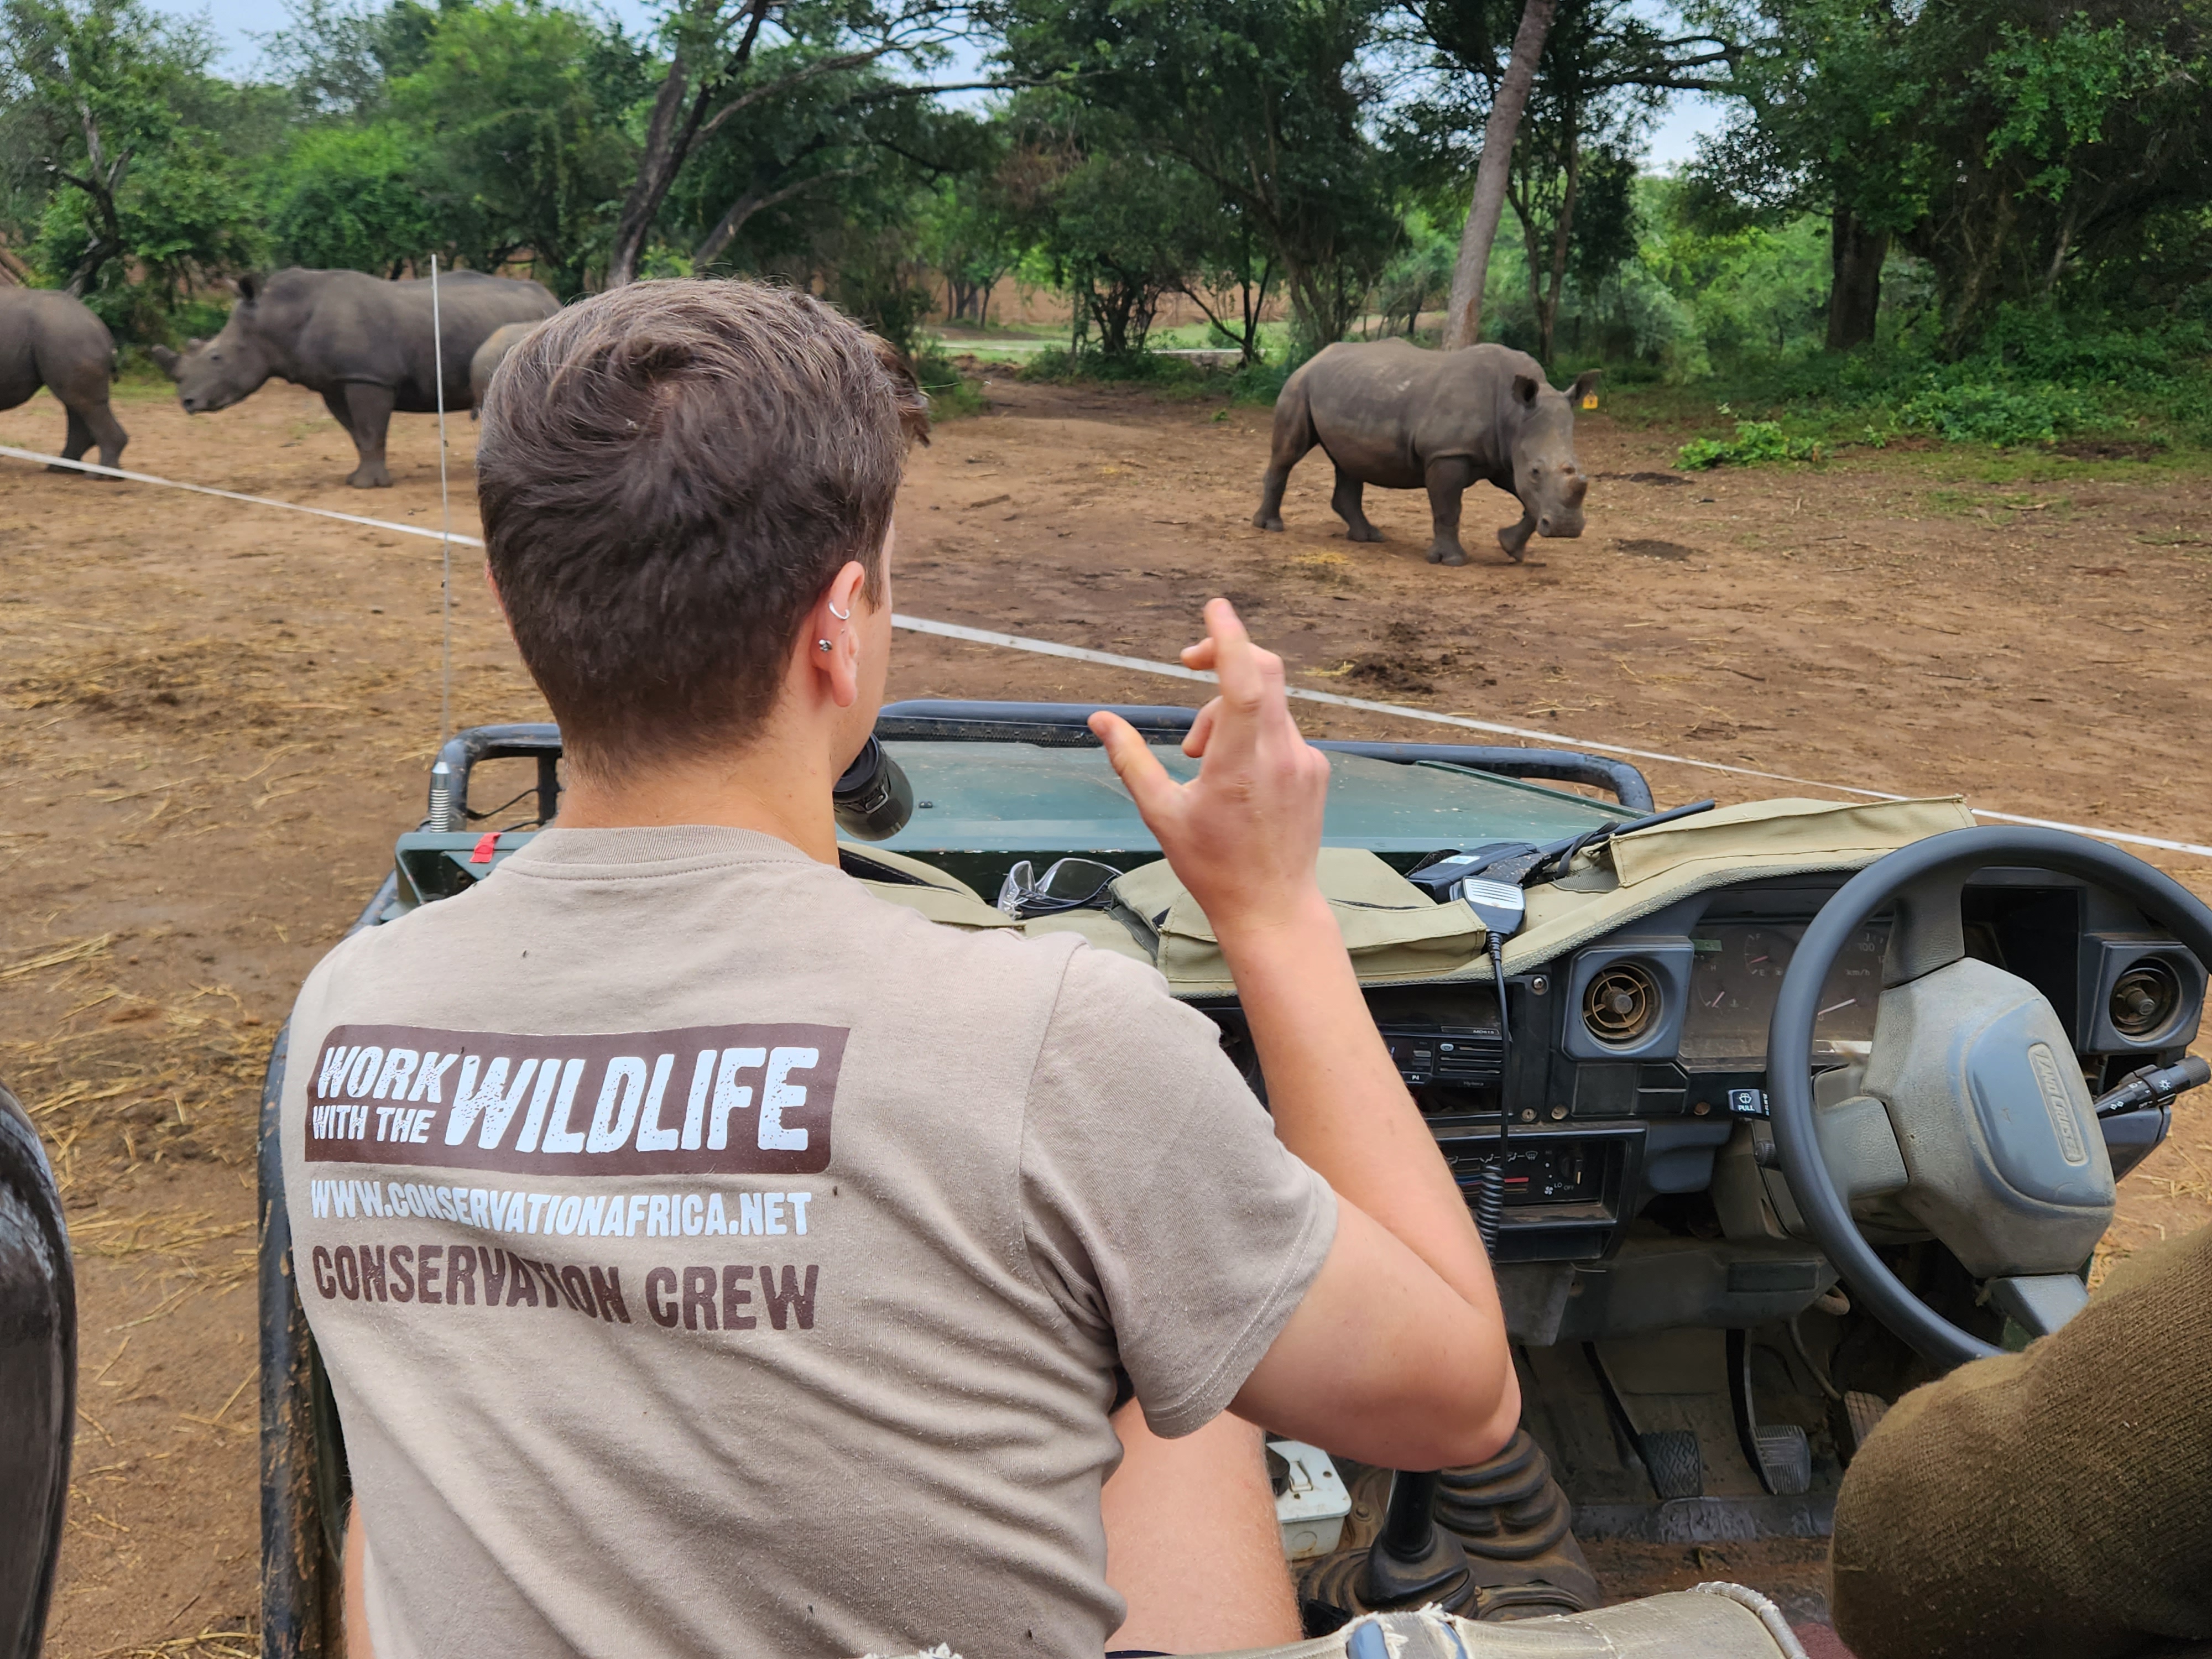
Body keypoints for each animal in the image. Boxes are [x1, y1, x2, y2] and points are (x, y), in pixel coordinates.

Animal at [0, 288, 128, 471]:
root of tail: (102, 328)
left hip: (69, 336)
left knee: (83, 403)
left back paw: (102, 474)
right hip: (65, 335)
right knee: (76, 405)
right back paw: (62, 468)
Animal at [149, 268, 558, 488]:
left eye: (216, 357)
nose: (187, 403)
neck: (278, 318)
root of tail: (551, 297)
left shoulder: (368, 377)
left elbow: (372, 427)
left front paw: (372, 485)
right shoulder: (334, 381)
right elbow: (357, 433)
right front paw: (357, 480)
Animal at [1253, 340, 1600, 566]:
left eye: (1579, 469)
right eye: (1536, 471)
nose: (1567, 530)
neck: (1513, 414)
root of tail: (1316, 356)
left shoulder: (1505, 457)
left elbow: (1529, 503)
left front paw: (1511, 548)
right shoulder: (1447, 453)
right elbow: (1448, 508)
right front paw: (1452, 561)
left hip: (1348, 387)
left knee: (1349, 463)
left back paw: (1369, 537)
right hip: (1299, 384)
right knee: (1288, 453)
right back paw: (1270, 527)